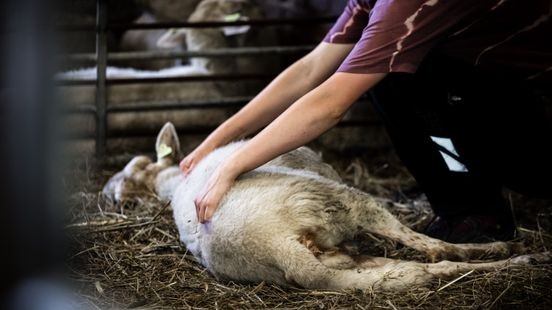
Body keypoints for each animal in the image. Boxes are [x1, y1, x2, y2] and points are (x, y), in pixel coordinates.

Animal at [101, 122, 548, 292]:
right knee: (432, 249)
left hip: (341, 259)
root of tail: (279, 249)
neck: (171, 184)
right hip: (338, 200)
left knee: (414, 270)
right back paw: (514, 254)